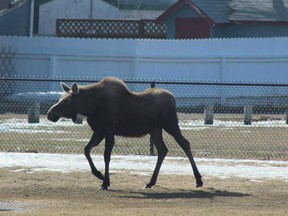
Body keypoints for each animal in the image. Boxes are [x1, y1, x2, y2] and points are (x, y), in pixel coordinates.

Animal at [47, 77, 202, 190]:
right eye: (60, 97)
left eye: (67, 100)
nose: (50, 114)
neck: (91, 107)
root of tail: (173, 98)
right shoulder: (99, 132)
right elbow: (86, 150)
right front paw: (100, 175)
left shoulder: (109, 132)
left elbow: (106, 157)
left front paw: (105, 182)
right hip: (155, 130)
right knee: (163, 150)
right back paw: (150, 182)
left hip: (170, 125)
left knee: (185, 144)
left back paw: (199, 179)